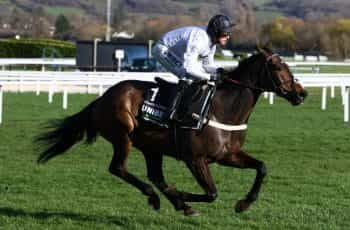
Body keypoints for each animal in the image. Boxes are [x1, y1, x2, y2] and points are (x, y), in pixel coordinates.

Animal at [37, 47, 308, 217]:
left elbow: (261, 167)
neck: (222, 109)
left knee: (155, 176)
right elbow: (211, 193)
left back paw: (173, 201)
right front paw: (183, 196)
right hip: (123, 136)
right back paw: (158, 197)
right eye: (278, 67)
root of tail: (102, 98)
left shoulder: (227, 155)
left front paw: (243, 204)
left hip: (151, 147)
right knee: (118, 168)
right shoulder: (195, 159)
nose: (301, 93)